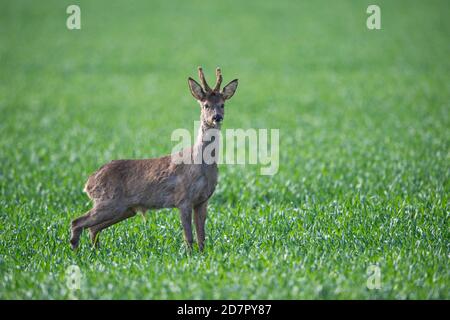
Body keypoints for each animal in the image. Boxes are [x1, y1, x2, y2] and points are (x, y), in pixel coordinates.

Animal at [69, 67, 239, 251]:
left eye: (222, 104)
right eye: (206, 105)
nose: (217, 117)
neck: (200, 165)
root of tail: (89, 182)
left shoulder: (202, 201)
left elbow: (202, 239)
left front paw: (202, 255)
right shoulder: (183, 198)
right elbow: (189, 238)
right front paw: (189, 255)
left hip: (124, 209)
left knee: (92, 228)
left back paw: (94, 251)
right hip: (108, 202)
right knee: (77, 222)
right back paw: (76, 251)